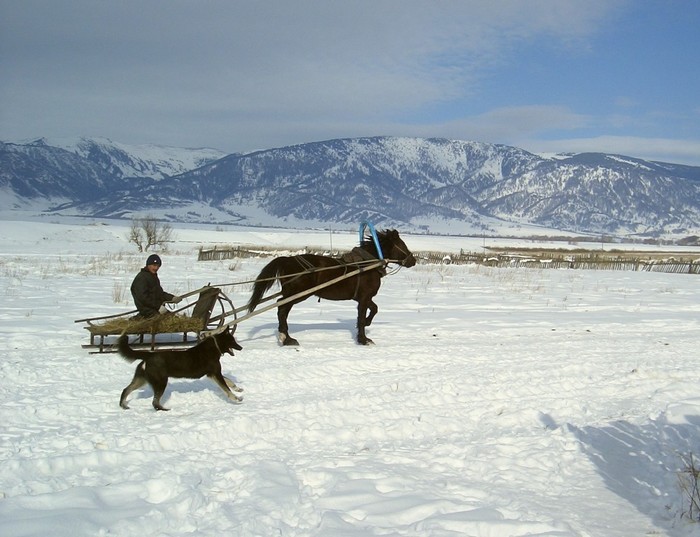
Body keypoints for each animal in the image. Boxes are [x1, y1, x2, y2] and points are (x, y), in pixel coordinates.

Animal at [247, 228, 416, 346]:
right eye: (402, 245)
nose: (413, 261)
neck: (367, 265)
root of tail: (287, 260)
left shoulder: (363, 298)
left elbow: (374, 309)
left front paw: (366, 326)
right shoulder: (363, 298)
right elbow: (362, 317)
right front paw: (363, 339)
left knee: (282, 309)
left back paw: (285, 337)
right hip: (298, 294)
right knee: (281, 309)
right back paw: (286, 338)